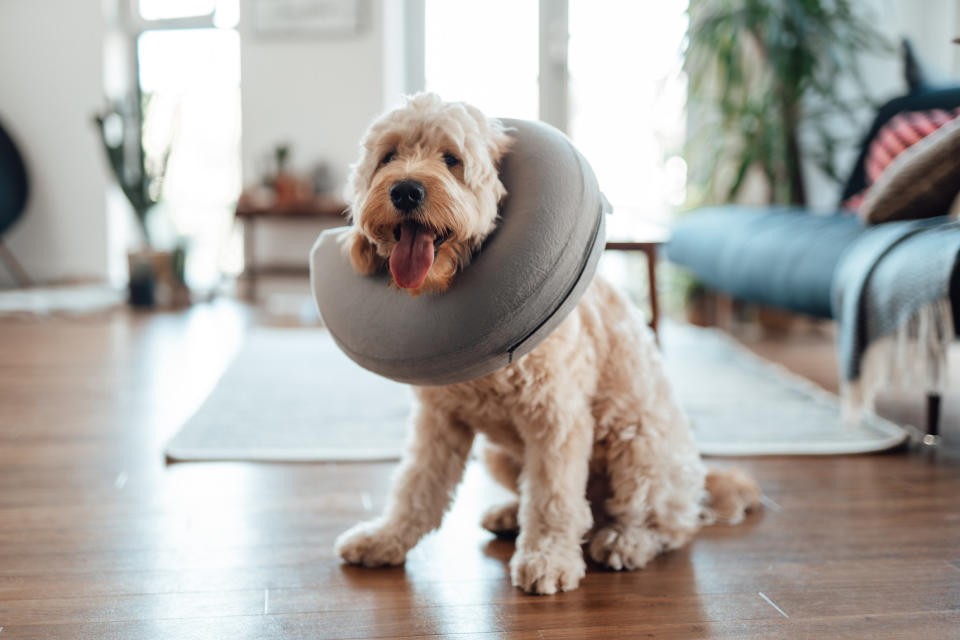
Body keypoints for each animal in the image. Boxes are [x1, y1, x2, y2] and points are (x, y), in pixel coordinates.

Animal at [334, 95, 760, 596]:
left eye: (452, 160)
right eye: (388, 157)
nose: (405, 191)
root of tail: (700, 480)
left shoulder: (556, 420)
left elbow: (553, 497)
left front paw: (549, 558)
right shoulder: (439, 422)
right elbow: (416, 487)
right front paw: (385, 539)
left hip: (639, 444)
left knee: (663, 523)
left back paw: (625, 540)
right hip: (499, 455)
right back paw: (509, 515)